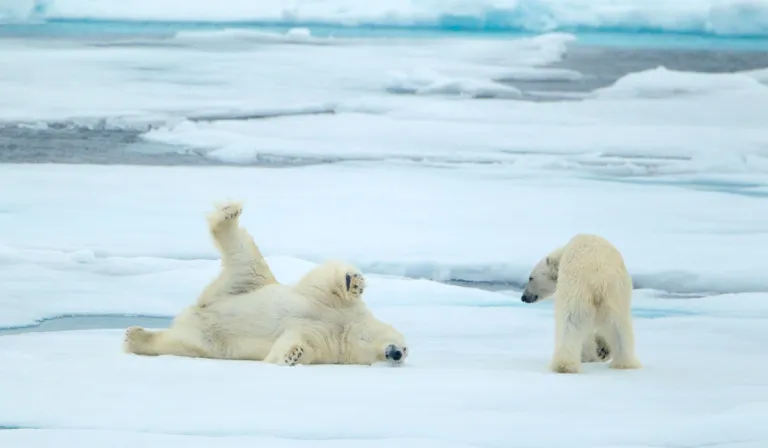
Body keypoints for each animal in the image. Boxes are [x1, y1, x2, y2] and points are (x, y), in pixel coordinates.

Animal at [123, 201, 408, 366]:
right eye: (405, 348)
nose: (397, 354)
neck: (346, 329)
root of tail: (195, 313)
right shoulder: (331, 305)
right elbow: (325, 278)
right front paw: (354, 282)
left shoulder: (329, 344)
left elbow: (297, 344)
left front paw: (292, 355)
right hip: (248, 282)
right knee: (243, 253)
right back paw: (230, 213)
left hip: (209, 342)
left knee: (180, 343)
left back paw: (135, 337)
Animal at [521, 233, 641, 374]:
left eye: (531, 278)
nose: (524, 297)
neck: (562, 253)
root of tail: (599, 278)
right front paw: (600, 350)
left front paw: (590, 354)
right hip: (616, 294)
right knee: (619, 325)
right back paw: (624, 363)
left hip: (577, 289)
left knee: (570, 322)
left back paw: (564, 365)